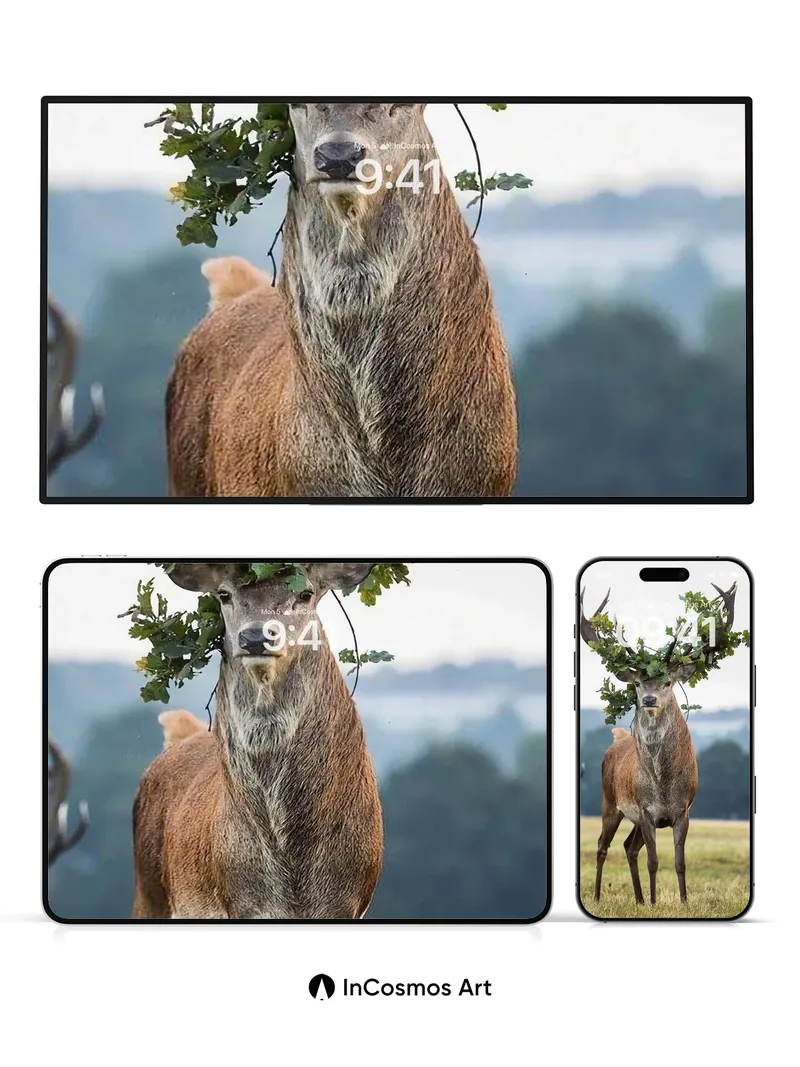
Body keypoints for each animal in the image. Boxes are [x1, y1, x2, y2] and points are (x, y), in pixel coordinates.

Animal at [132, 563, 383, 920]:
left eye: (305, 593)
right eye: (224, 594)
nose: (255, 637)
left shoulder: (347, 902)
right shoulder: (242, 902)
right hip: (148, 890)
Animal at [580, 583, 737, 907]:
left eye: (667, 682)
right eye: (637, 683)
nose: (649, 699)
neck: (663, 783)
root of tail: (618, 738)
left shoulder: (683, 810)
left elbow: (679, 861)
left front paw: (683, 902)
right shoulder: (646, 810)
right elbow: (653, 861)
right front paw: (655, 902)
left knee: (628, 846)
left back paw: (638, 899)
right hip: (609, 801)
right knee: (602, 845)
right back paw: (600, 897)